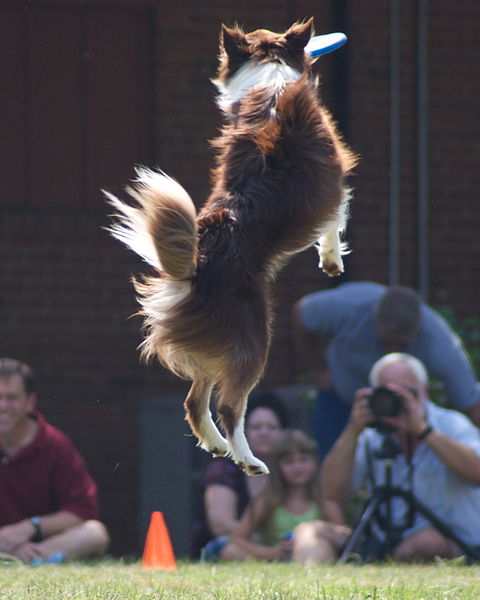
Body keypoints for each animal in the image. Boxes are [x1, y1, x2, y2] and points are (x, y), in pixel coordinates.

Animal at [108, 18, 356, 476]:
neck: (269, 81)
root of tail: (194, 266)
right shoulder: (334, 183)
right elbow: (335, 221)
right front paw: (331, 260)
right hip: (252, 337)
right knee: (229, 405)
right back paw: (248, 459)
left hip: (214, 342)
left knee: (194, 402)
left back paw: (216, 444)